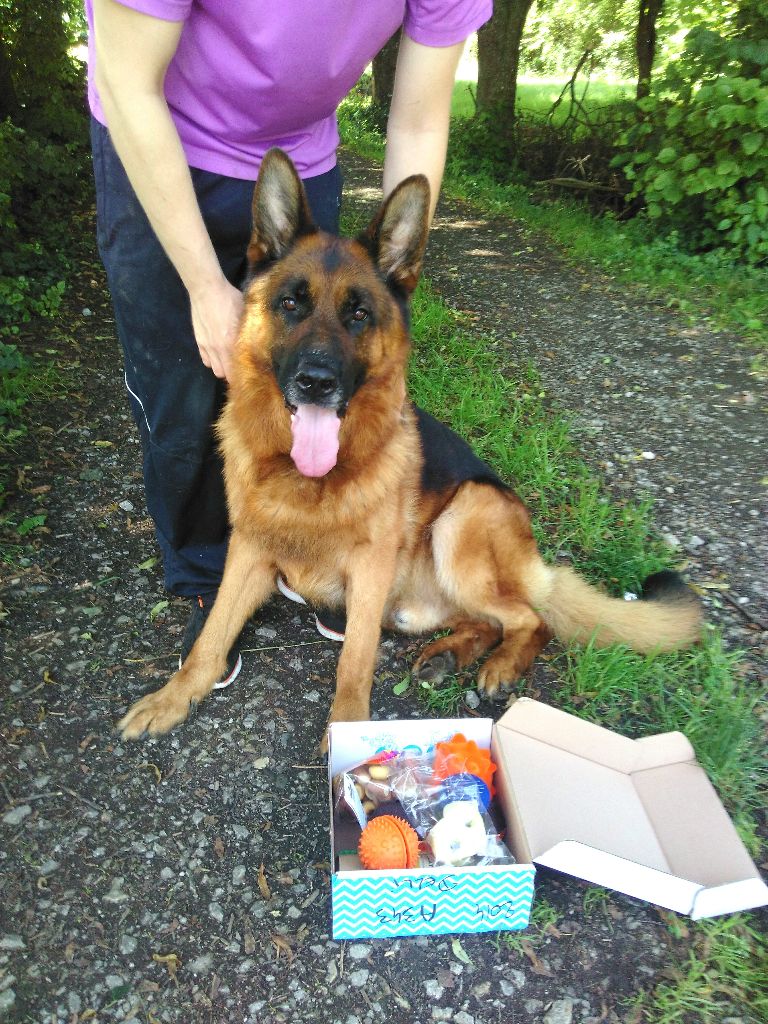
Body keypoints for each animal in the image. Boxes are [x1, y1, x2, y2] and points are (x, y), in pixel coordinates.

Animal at [117, 151, 700, 741]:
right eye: (291, 303)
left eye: (358, 314)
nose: (316, 382)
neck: (308, 480)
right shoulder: (249, 552)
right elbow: (211, 637)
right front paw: (173, 698)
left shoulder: (370, 569)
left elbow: (354, 658)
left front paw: (349, 731)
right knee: (488, 620)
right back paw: (451, 652)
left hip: (462, 521)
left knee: (531, 620)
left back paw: (498, 665)